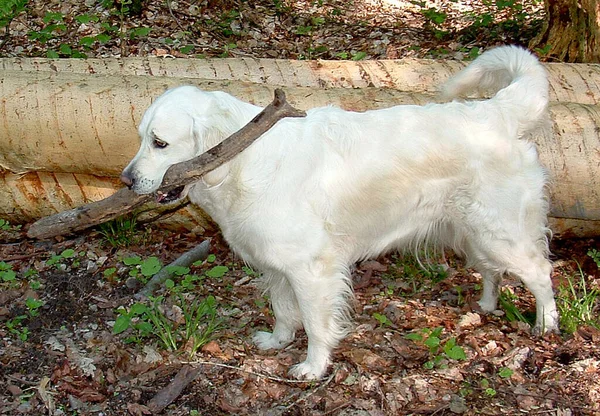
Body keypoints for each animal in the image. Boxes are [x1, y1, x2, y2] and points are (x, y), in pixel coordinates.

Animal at [120, 46, 556, 380]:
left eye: (160, 143)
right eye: (140, 138)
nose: (126, 180)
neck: (245, 160)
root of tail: (496, 112)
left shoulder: (312, 268)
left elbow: (315, 324)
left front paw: (313, 367)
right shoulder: (276, 265)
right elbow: (283, 310)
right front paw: (277, 341)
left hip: (500, 231)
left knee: (540, 272)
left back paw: (546, 326)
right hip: (473, 231)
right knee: (492, 271)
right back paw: (486, 306)